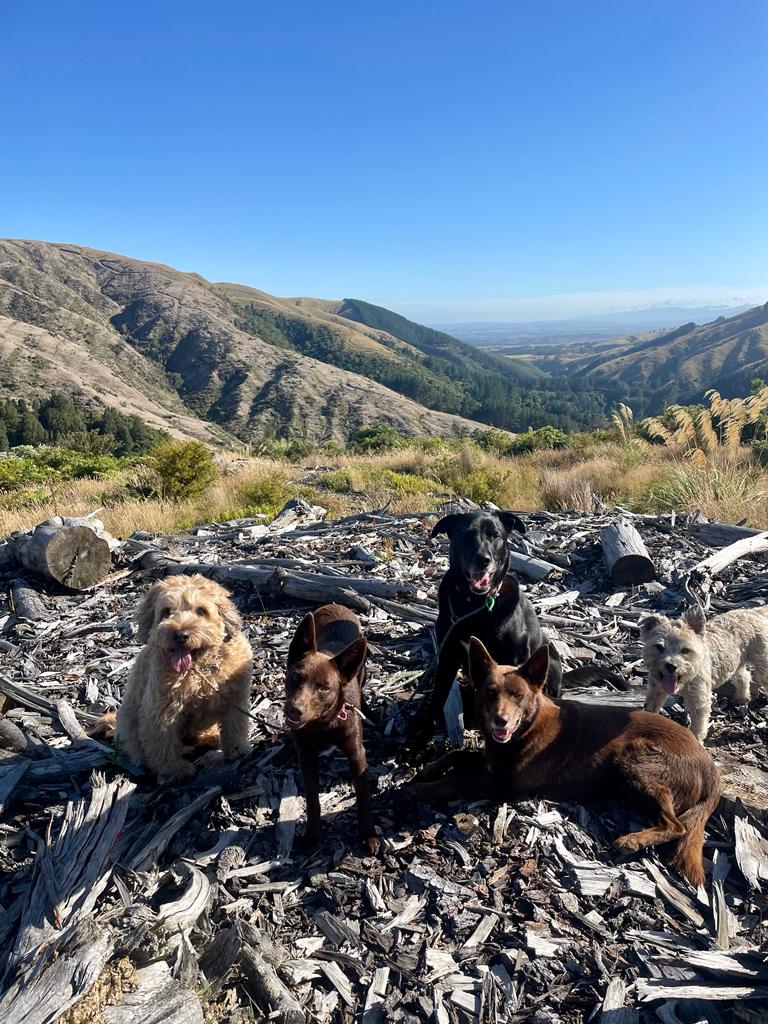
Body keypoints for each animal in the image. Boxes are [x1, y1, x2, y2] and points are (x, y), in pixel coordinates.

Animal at [115, 573, 252, 778]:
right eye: (166, 611)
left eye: (201, 611)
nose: (180, 635)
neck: (200, 669)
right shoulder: (161, 710)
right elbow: (162, 741)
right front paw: (173, 769)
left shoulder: (236, 698)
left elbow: (236, 725)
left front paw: (238, 749)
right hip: (128, 721)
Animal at [284, 602, 380, 851]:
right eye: (295, 677)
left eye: (324, 688)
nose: (294, 710)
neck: (323, 725)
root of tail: (335, 604)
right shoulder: (307, 756)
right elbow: (312, 799)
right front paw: (312, 835)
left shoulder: (356, 753)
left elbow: (363, 795)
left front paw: (368, 834)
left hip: (361, 669)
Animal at [409, 509, 626, 753]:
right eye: (465, 534)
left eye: (494, 535)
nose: (483, 559)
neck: (476, 605)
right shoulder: (447, 654)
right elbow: (437, 698)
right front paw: (420, 739)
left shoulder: (516, 656)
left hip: (550, 661)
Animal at [411, 634, 724, 884]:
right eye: (490, 693)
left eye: (518, 695)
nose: (500, 721)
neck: (527, 729)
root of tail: (711, 769)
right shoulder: (492, 762)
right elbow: (458, 753)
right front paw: (428, 769)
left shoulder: (505, 785)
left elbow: (456, 780)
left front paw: (420, 789)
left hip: (634, 757)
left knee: (676, 826)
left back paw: (632, 840)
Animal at [638, 602, 765, 741]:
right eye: (659, 647)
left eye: (685, 650)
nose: (671, 666)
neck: (684, 681)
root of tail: (755, 611)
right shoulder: (655, 691)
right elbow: (651, 710)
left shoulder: (699, 701)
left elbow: (697, 727)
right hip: (736, 663)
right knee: (744, 676)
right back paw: (742, 698)